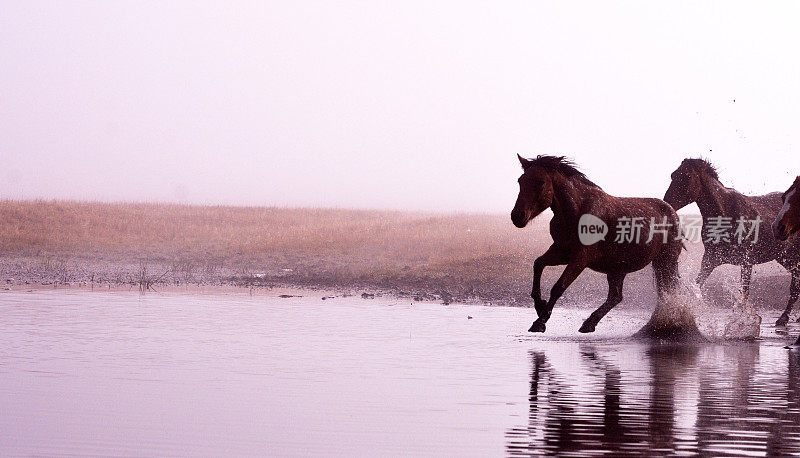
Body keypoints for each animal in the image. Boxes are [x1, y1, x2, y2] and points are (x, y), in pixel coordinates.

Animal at [512, 155, 680, 332]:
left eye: (541, 182)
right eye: (520, 181)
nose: (517, 216)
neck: (576, 212)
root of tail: (672, 211)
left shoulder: (580, 258)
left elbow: (558, 287)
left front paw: (540, 321)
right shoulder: (561, 252)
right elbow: (538, 264)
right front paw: (540, 306)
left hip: (665, 260)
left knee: (667, 289)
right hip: (618, 268)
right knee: (616, 297)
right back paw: (589, 323)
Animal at [664, 159, 800, 328]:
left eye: (687, 176)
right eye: (673, 175)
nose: (667, 202)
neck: (725, 212)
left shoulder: (747, 261)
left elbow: (744, 291)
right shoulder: (710, 259)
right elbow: (697, 284)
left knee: (795, 286)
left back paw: (783, 318)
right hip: (784, 257)